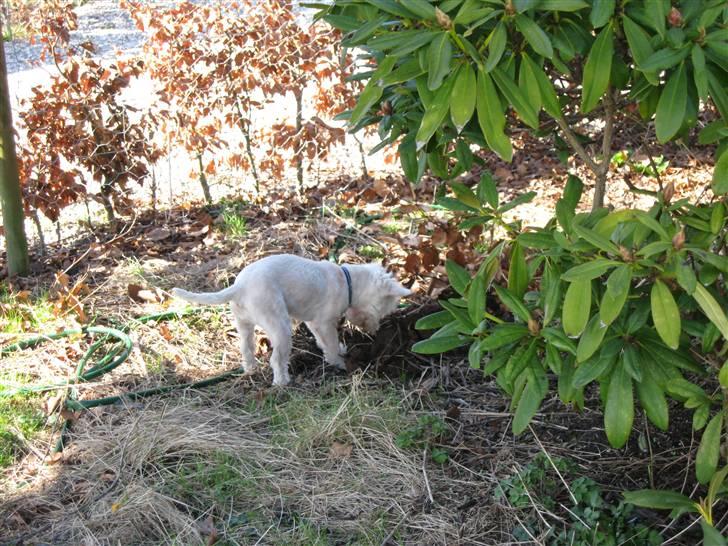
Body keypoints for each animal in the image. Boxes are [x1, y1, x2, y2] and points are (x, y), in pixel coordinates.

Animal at [170, 254, 410, 384]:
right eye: (385, 308)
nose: (375, 330)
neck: (347, 281)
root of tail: (239, 287)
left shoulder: (313, 323)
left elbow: (324, 342)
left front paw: (338, 352)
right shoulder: (324, 322)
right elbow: (331, 344)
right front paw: (339, 363)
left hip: (244, 323)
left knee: (246, 349)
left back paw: (250, 369)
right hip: (280, 327)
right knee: (276, 359)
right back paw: (282, 382)